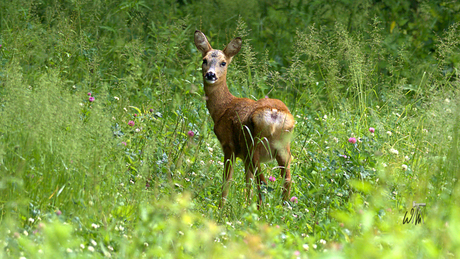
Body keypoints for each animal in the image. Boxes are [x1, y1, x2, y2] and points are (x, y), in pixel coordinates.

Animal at [193, 30, 294, 209]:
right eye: (204, 60)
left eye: (223, 63)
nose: (210, 74)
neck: (223, 108)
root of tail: (274, 114)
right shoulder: (244, 157)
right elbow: (247, 182)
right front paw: (246, 206)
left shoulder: (229, 145)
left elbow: (227, 180)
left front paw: (221, 207)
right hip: (282, 148)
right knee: (286, 180)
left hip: (254, 146)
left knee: (263, 182)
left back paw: (261, 211)